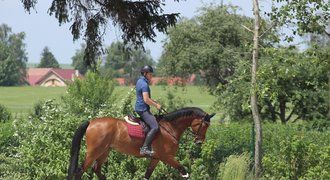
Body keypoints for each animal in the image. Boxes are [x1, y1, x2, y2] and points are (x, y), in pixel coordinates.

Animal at [67, 107, 217, 179]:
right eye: (205, 125)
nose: (199, 141)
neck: (169, 128)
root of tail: (91, 122)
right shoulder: (167, 157)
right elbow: (184, 171)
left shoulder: (156, 158)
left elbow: (147, 175)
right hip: (93, 152)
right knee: (80, 172)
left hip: (104, 151)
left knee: (97, 170)